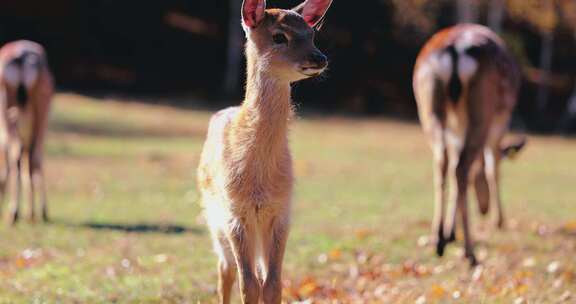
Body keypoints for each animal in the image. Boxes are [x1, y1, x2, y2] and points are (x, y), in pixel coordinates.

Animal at [0, 41, 54, 223]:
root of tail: (22, 56)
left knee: (18, 154)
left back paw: (16, 213)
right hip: (40, 110)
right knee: (32, 157)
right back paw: (32, 213)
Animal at [198, 1, 332, 302]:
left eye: (312, 34)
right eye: (279, 36)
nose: (320, 58)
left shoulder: (281, 211)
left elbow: (272, 284)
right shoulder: (236, 212)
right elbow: (247, 284)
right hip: (215, 220)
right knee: (225, 270)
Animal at [414, 24, 528, 266]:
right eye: (479, 181)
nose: (484, 208)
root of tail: (456, 50)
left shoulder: (455, 129)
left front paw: (449, 233)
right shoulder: (498, 127)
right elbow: (493, 168)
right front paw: (499, 221)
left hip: (428, 103)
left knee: (442, 163)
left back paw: (437, 239)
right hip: (484, 109)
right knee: (461, 167)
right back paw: (470, 252)